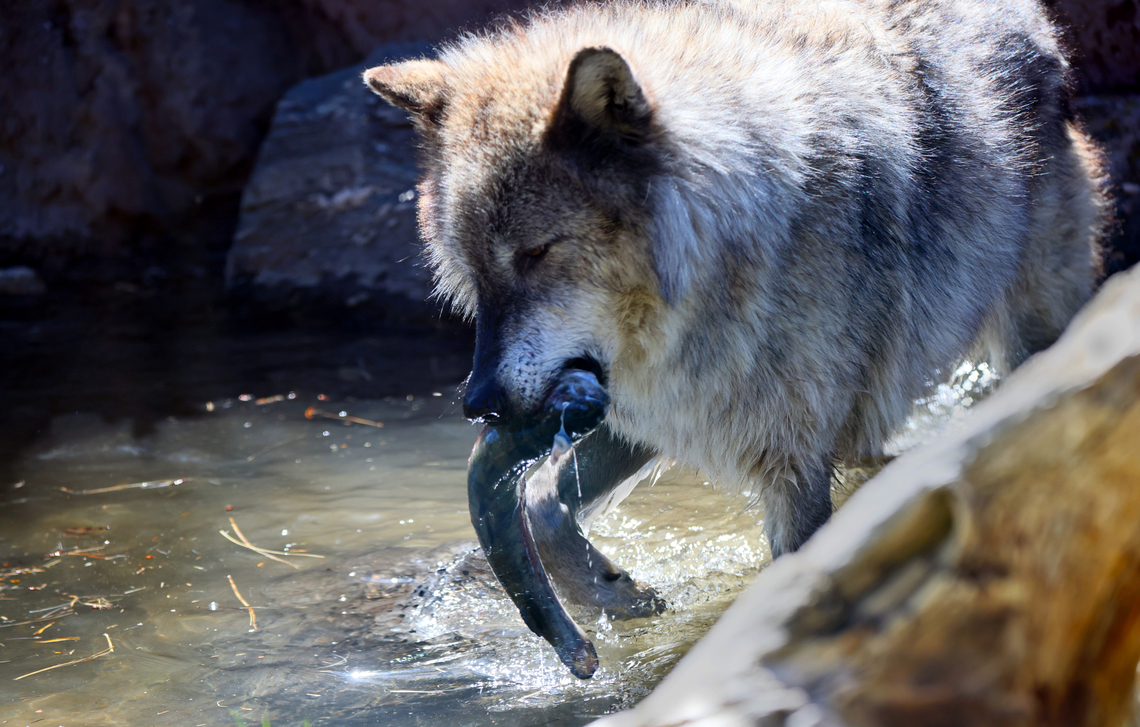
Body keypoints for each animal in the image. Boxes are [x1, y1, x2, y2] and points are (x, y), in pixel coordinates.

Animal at [365, 0, 1105, 594]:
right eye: (472, 272)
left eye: (536, 253)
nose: (478, 402)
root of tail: (1033, 20)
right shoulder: (655, 413)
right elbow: (544, 501)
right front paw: (610, 593)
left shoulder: (791, 464)